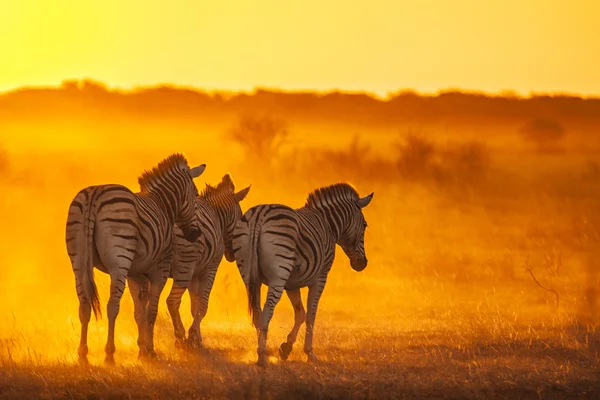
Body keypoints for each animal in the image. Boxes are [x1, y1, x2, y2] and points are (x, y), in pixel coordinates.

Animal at [65, 154, 206, 366]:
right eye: (196, 194)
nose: (195, 234)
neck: (163, 206)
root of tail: (94, 194)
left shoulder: (136, 274)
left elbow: (139, 313)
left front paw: (143, 352)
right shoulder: (159, 269)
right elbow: (151, 311)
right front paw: (151, 351)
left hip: (79, 260)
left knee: (84, 305)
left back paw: (83, 355)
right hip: (119, 260)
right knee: (112, 306)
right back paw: (109, 355)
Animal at [164, 173, 251, 348]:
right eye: (241, 220)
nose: (232, 255)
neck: (217, 215)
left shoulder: (195, 273)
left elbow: (194, 306)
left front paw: (196, 337)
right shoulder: (209, 268)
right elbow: (202, 305)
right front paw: (193, 337)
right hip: (184, 266)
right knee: (172, 301)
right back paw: (180, 337)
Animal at [232, 183, 372, 368]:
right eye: (364, 225)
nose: (362, 264)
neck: (328, 224)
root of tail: (259, 215)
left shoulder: (292, 284)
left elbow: (300, 313)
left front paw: (285, 348)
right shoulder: (320, 277)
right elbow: (311, 314)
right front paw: (309, 353)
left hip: (249, 274)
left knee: (257, 313)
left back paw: (261, 351)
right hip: (279, 273)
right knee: (267, 310)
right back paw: (262, 356)